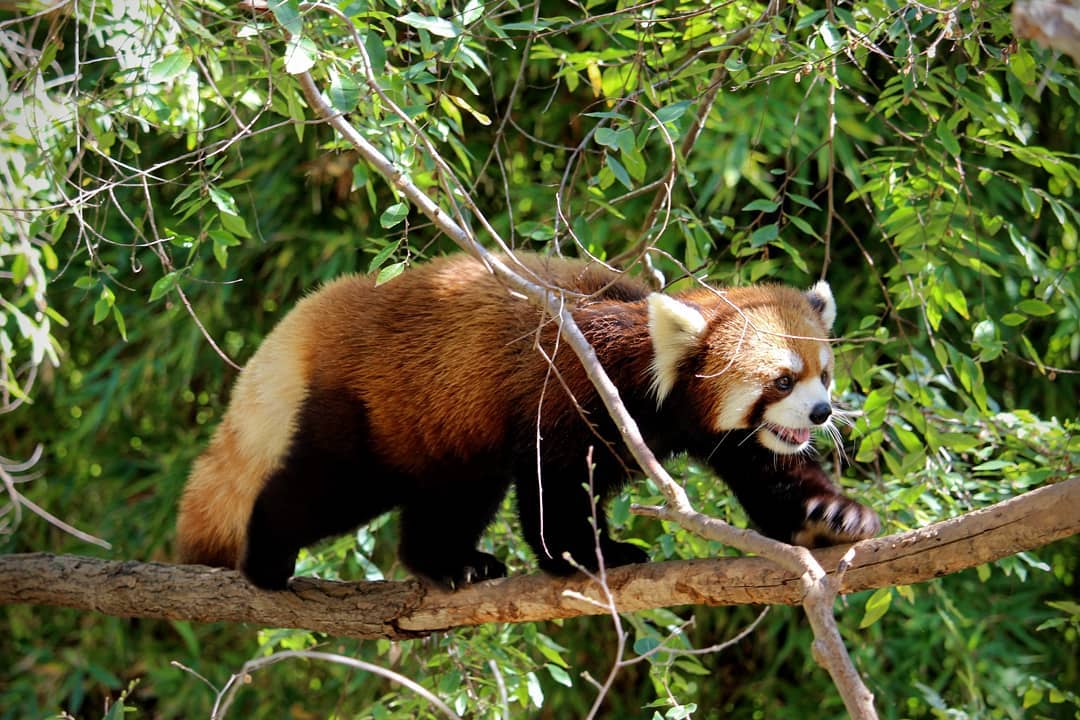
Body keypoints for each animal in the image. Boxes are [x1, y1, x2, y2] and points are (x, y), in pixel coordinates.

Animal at [177, 253, 881, 591]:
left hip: (446, 427)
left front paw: (831, 518)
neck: (648, 374)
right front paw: (586, 557)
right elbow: (555, 487)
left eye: (822, 374)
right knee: (325, 487)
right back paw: (266, 561)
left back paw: (448, 564)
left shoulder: (722, 433)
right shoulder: (572, 390)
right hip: (371, 414)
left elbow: (772, 473)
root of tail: (325, 307)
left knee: (449, 497)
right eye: (781, 380)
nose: (820, 412)